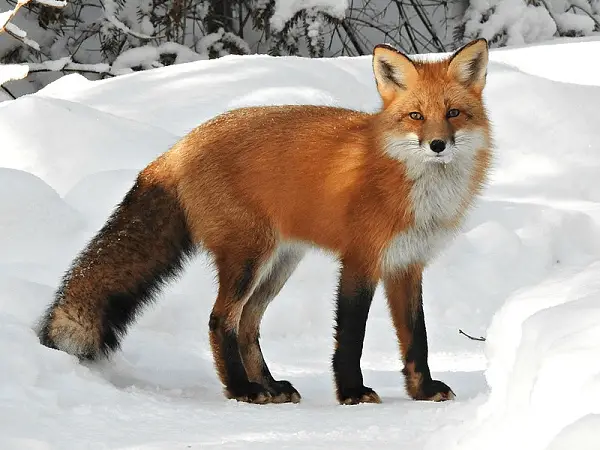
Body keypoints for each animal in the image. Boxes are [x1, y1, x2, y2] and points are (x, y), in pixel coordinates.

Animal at [37, 37, 490, 404]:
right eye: (416, 116)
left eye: (453, 113)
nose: (437, 145)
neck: (412, 188)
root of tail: (178, 147)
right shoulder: (360, 261)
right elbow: (351, 337)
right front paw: (351, 392)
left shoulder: (406, 265)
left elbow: (417, 339)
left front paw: (422, 390)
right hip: (248, 258)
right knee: (221, 321)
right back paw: (242, 390)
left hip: (279, 263)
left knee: (248, 324)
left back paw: (269, 386)